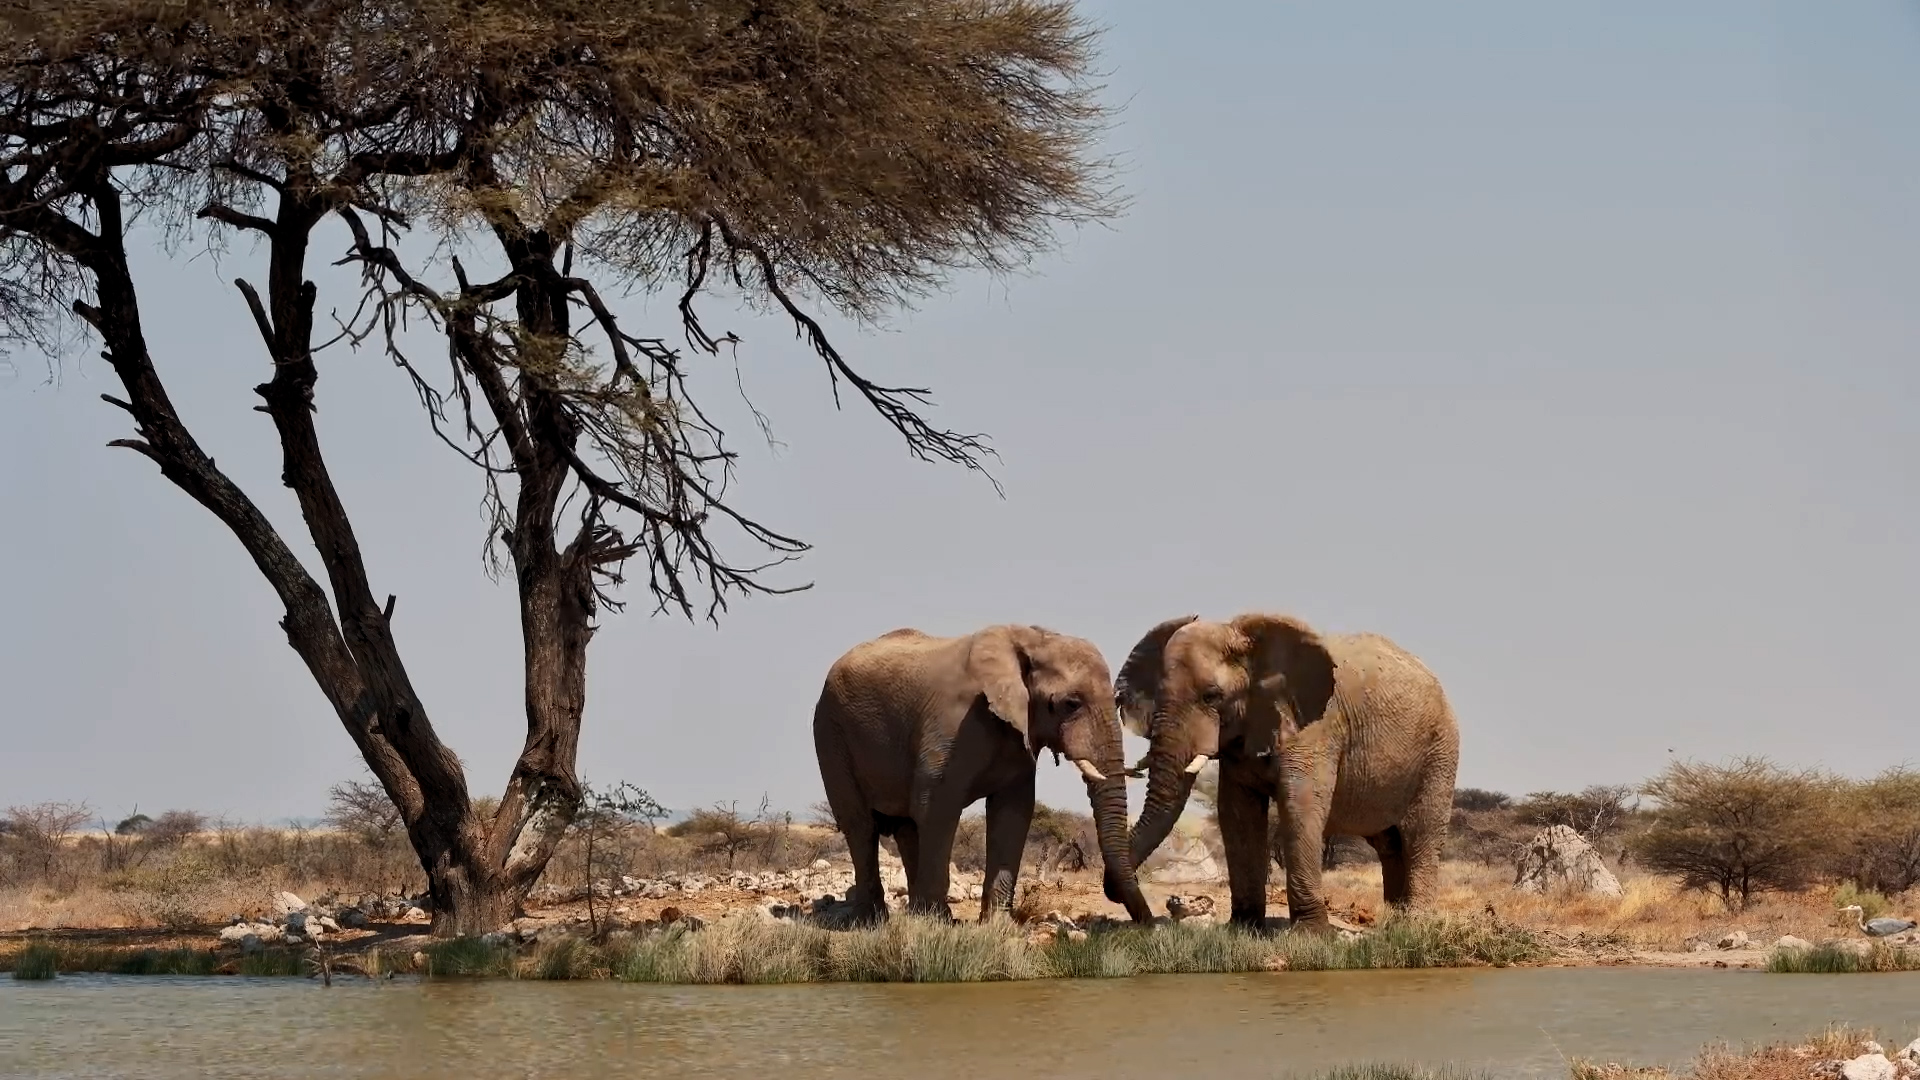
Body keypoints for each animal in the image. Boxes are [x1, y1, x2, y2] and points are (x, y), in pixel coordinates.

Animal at [812, 624, 1156, 925]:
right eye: (1071, 704)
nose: (1148, 923)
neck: (1034, 639)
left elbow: (1013, 813)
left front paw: (996, 927)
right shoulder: (953, 725)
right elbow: (935, 807)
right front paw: (936, 926)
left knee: (906, 827)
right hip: (830, 733)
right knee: (861, 826)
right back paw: (873, 921)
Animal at [1115, 612, 1459, 934]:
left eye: (1212, 696)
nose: (1151, 917)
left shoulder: (1315, 727)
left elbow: (1300, 805)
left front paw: (1310, 934)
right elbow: (1237, 813)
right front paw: (1243, 928)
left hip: (1440, 752)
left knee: (1420, 837)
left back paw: (1414, 926)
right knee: (1390, 844)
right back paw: (1393, 925)